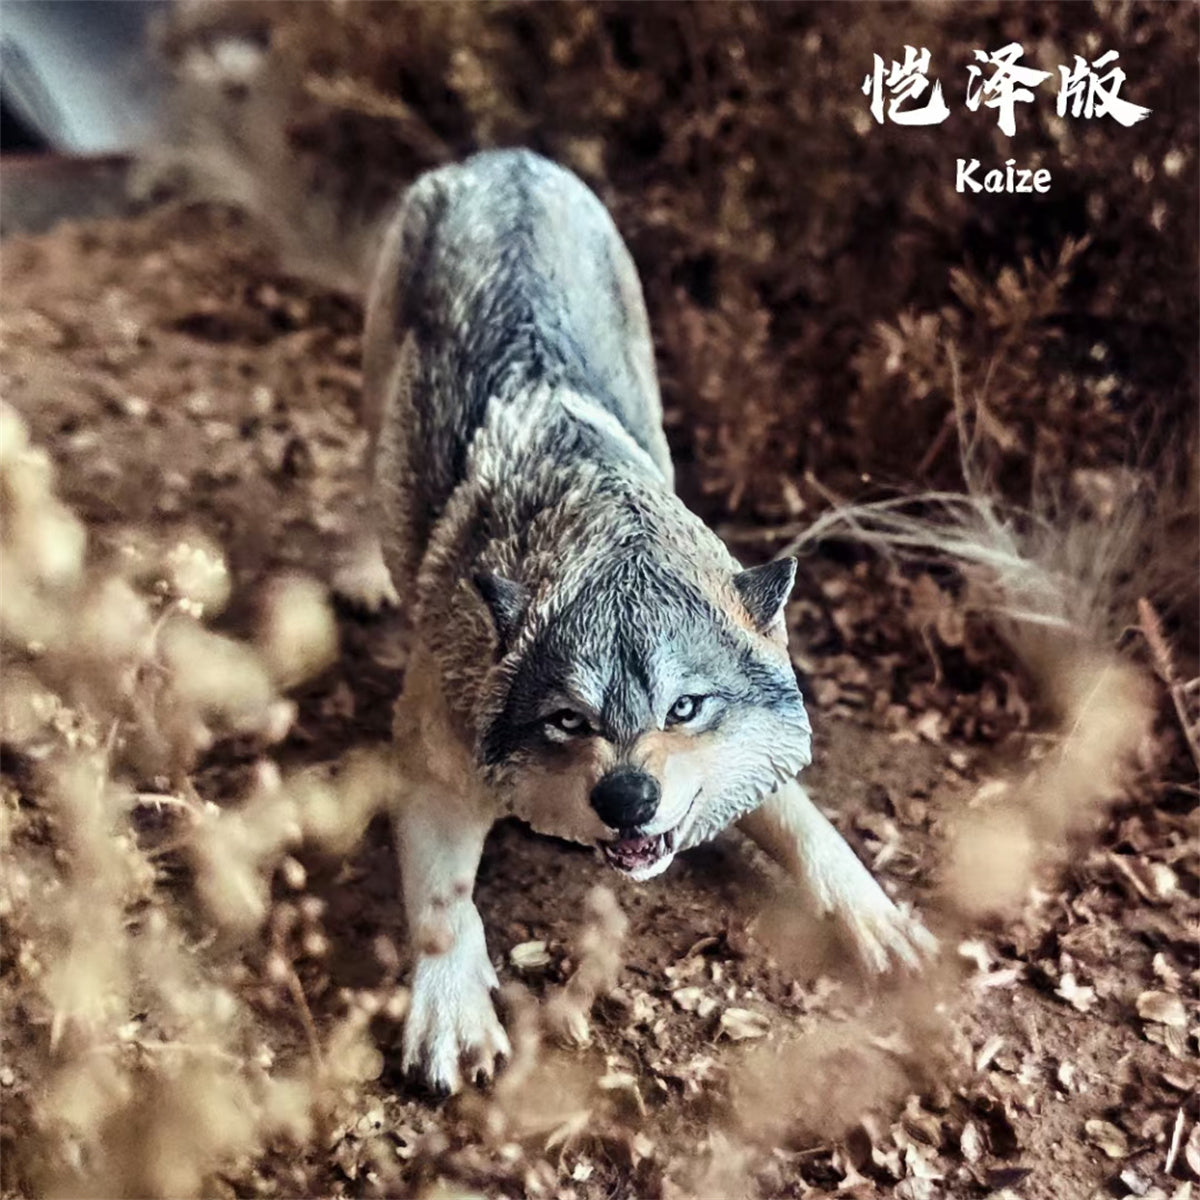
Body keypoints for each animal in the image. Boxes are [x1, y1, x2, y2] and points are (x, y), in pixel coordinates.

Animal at [344, 149, 934, 1093]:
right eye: (567, 720)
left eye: (684, 708)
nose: (627, 798)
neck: (595, 515)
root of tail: (504, 159)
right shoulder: (432, 772)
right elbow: (444, 906)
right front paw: (453, 1015)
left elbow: (811, 828)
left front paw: (879, 921)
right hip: (376, 408)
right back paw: (365, 571)